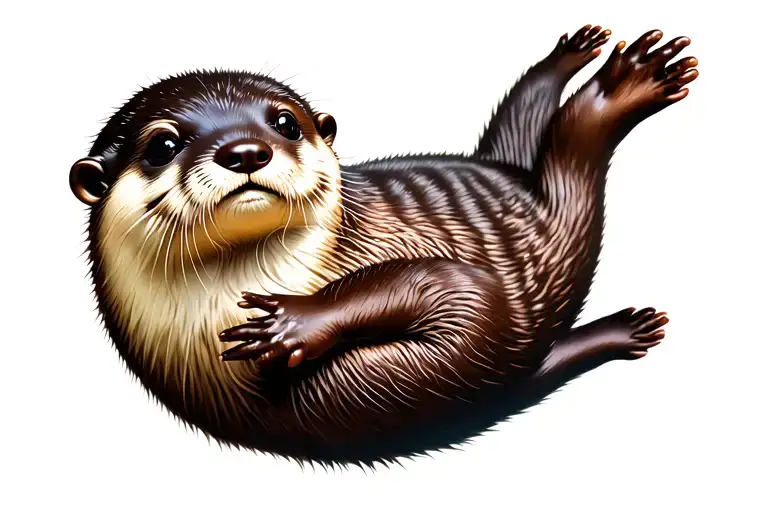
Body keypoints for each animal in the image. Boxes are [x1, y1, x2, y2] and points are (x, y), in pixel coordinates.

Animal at [69, 25, 697, 467]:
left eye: (285, 123)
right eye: (163, 144)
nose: (245, 150)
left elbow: (458, 292)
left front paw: (294, 323)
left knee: (566, 153)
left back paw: (615, 79)